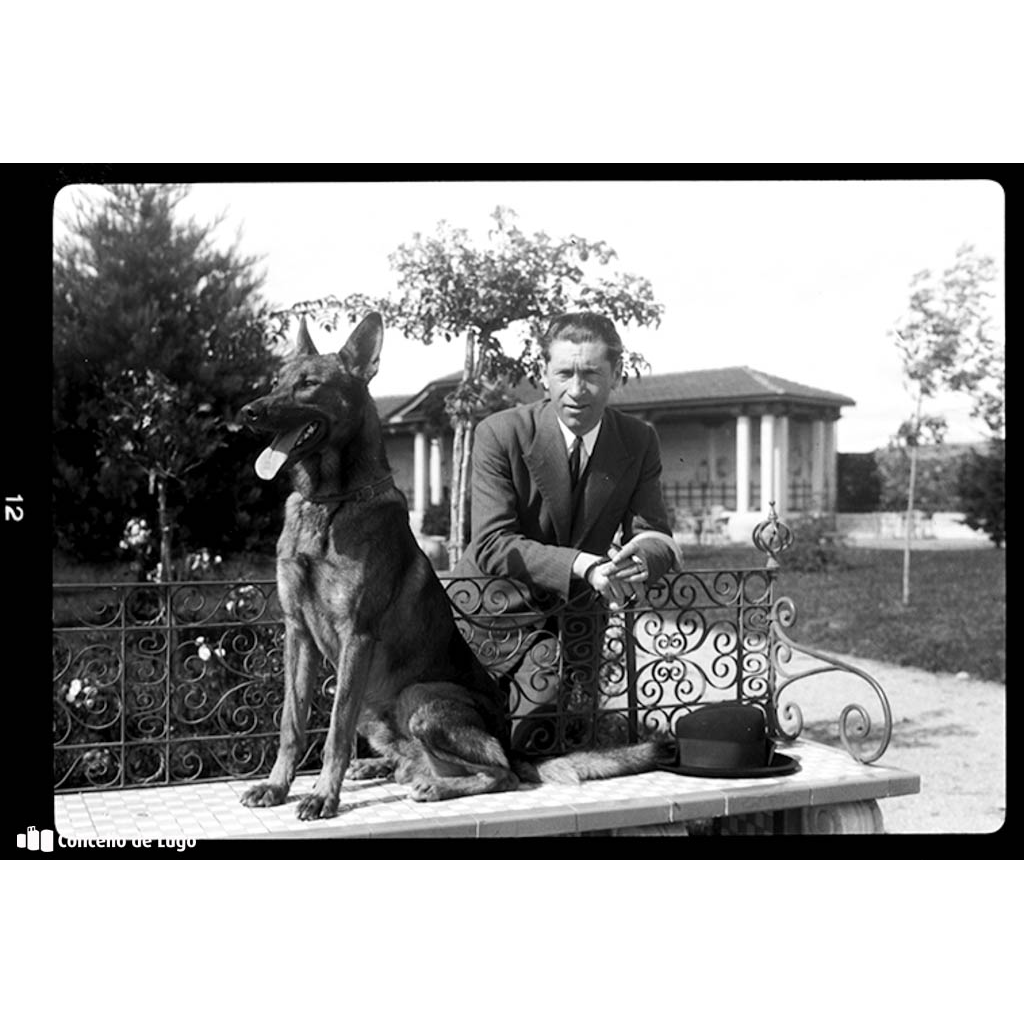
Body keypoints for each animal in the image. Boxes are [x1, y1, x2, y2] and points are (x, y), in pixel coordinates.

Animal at [239, 315, 671, 819]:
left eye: (309, 384)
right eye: (275, 382)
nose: (248, 412)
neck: (330, 501)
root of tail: (512, 744)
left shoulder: (356, 637)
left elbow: (334, 734)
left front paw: (324, 794)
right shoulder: (298, 634)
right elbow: (291, 725)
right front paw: (277, 786)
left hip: (420, 698)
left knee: (500, 773)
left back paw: (434, 785)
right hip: (376, 710)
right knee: (417, 763)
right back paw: (384, 768)